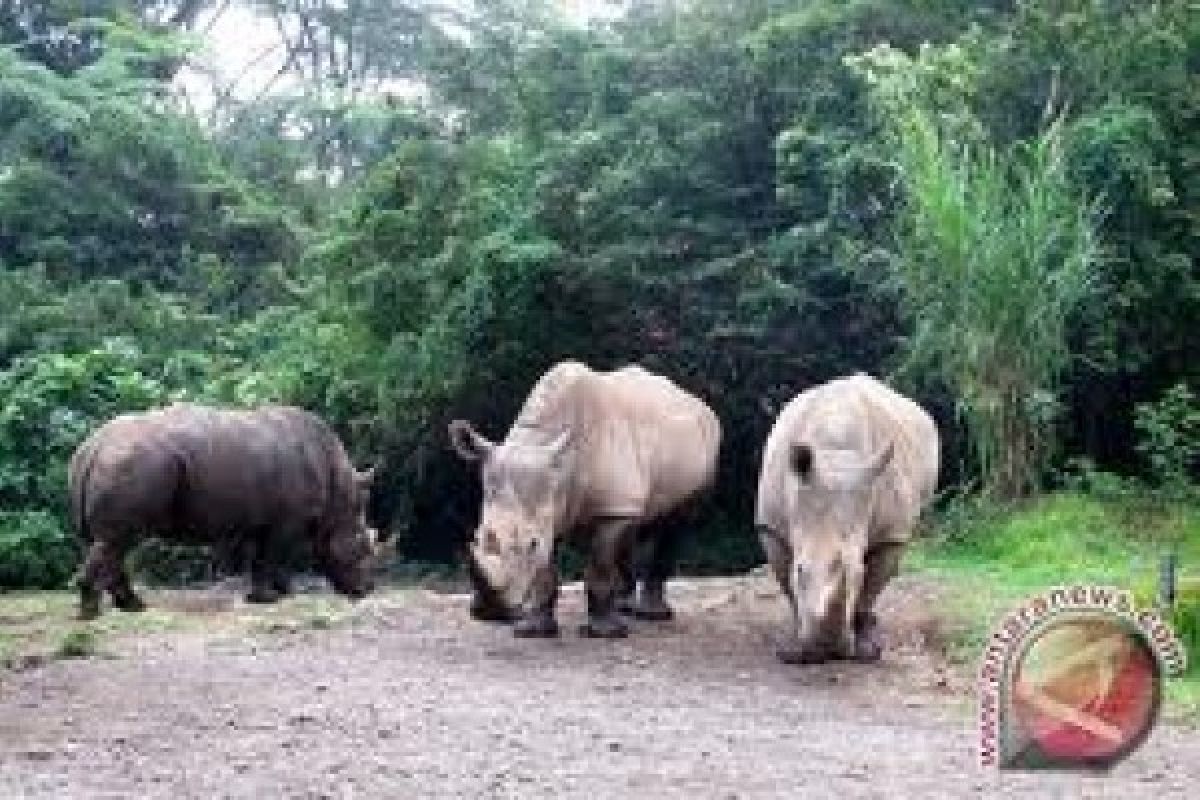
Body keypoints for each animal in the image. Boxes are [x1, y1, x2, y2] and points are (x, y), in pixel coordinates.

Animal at [66, 407, 384, 618]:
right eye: (362, 546)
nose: (365, 590)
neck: (339, 491)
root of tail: (93, 446)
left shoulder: (266, 520)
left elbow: (266, 558)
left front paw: (280, 593)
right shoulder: (286, 520)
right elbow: (272, 555)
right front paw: (268, 598)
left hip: (114, 462)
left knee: (109, 543)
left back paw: (131, 607)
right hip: (133, 464)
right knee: (117, 541)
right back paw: (94, 615)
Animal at [446, 362, 715, 638]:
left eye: (532, 545)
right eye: (477, 538)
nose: (491, 613)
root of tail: (697, 402)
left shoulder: (607, 510)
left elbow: (599, 568)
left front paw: (604, 633)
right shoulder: (555, 509)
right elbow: (546, 572)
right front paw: (534, 630)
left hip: (705, 441)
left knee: (676, 521)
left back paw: (651, 615)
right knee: (634, 521)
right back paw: (623, 606)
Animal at [753, 374, 940, 662]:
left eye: (857, 574)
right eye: (800, 570)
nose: (825, 650)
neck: (835, 459)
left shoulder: (890, 535)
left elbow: (870, 589)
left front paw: (867, 651)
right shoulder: (771, 527)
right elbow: (788, 586)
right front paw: (793, 648)